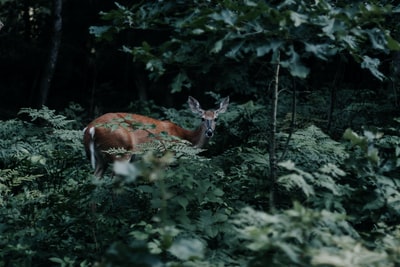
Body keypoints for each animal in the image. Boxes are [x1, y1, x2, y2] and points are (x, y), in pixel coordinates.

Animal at [83, 96, 230, 178]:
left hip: (100, 157)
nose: (209, 132)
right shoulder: (165, 156)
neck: (184, 137)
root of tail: (91, 128)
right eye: (202, 118)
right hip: (120, 151)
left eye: (216, 118)